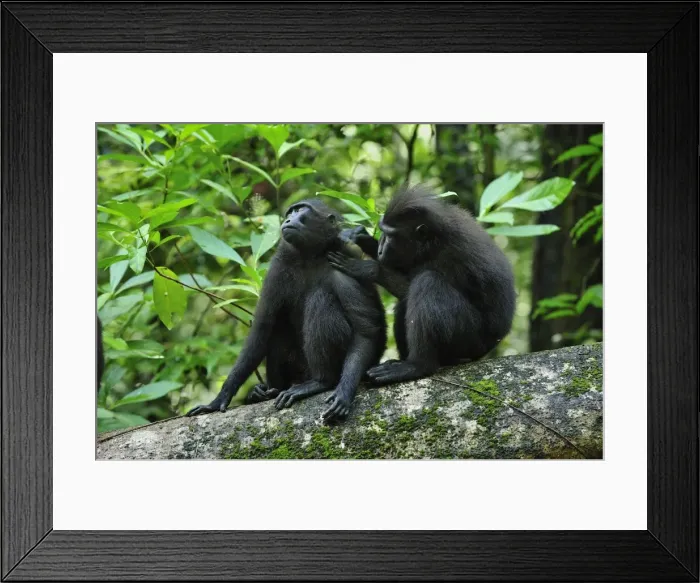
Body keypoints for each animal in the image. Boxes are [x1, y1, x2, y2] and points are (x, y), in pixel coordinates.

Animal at [187, 199, 387, 422]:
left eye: (301, 210)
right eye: (290, 212)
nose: (288, 219)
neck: (310, 257)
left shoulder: (344, 268)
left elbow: (366, 330)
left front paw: (344, 392)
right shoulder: (277, 270)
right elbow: (261, 329)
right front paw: (218, 400)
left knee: (320, 300)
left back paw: (320, 382)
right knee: (278, 328)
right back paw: (266, 392)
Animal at [327, 184, 516, 385]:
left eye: (391, 236)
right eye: (382, 231)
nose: (381, 248)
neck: (434, 240)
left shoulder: (451, 255)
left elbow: (410, 285)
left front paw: (368, 268)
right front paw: (360, 237)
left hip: (469, 339)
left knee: (427, 283)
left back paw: (417, 366)